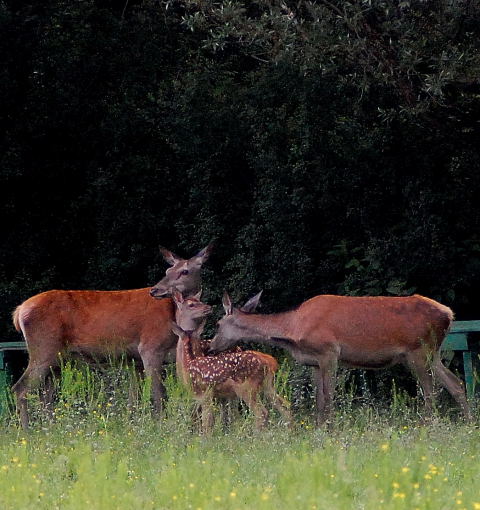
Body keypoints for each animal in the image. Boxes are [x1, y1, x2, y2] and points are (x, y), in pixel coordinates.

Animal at [10, 241, 214, 428]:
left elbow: (134, 399)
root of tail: (19, 311)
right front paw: (160, 426)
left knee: (45, 394)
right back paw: (27, 430)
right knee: (20, 388)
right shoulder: (150, 348)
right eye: (167, 270)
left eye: (185, 271)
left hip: (58, 359)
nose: (155, 290)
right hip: (44, 348)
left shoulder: (134, 360)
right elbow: (159, 395)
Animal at [172, 290, 292, 430]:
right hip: (267, 386)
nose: (208, 307)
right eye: (191, 305)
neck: (188, 361)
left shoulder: (205, 394)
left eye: (199, 301)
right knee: (285, 406)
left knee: (259, 413)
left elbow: (207, 422)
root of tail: (270, 361)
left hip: (245, 388)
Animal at [211, 290, 472, 426]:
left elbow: (328, 397)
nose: (212, 347)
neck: (293, 329)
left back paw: (427, 425)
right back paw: (469, 423)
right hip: (432, 353)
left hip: (418, 350)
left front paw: (331, 430)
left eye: (218, 324)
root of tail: (449, 314)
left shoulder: (329, 352)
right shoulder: (314, 362)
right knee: (456, 383)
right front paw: (319, 429)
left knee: (430, 390)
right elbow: (318, 399)